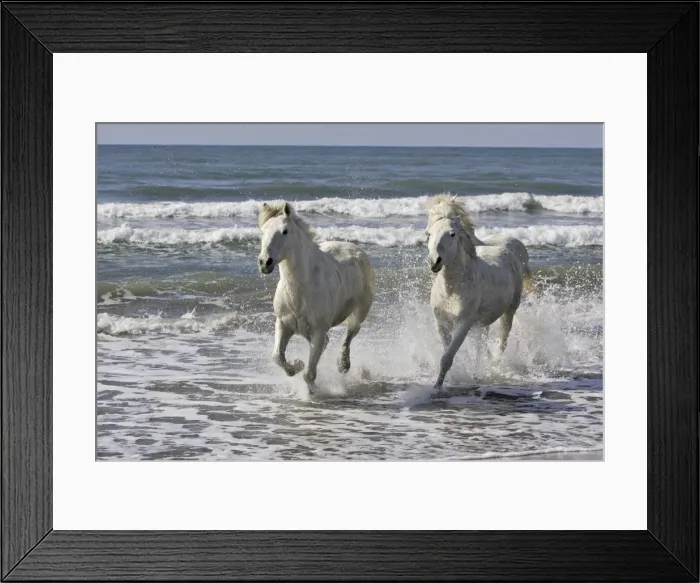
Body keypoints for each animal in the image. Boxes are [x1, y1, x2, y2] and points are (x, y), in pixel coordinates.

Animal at [258, 201, 375, 388]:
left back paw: (343, 364)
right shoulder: (283, 324)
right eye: (262, 231)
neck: (301, 290)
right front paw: (296, 365)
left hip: (360, 311)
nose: (264, 263)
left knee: (351, 332)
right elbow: (277, 357)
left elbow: (309, 374)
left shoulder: (319, 330)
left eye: (285, 231)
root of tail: (357, 249)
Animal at [425, 195, 525, 396]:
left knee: (502, 341)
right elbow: (447, 352)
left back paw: (492, 368)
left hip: (509, 311)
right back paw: (479, 372)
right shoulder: (441, 323)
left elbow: (447, 357)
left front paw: (437, 389)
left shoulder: (463, 323)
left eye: (452, 234)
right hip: (481, 323)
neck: (451, 291)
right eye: (429, 234)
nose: (434, 262)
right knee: (481, 345)